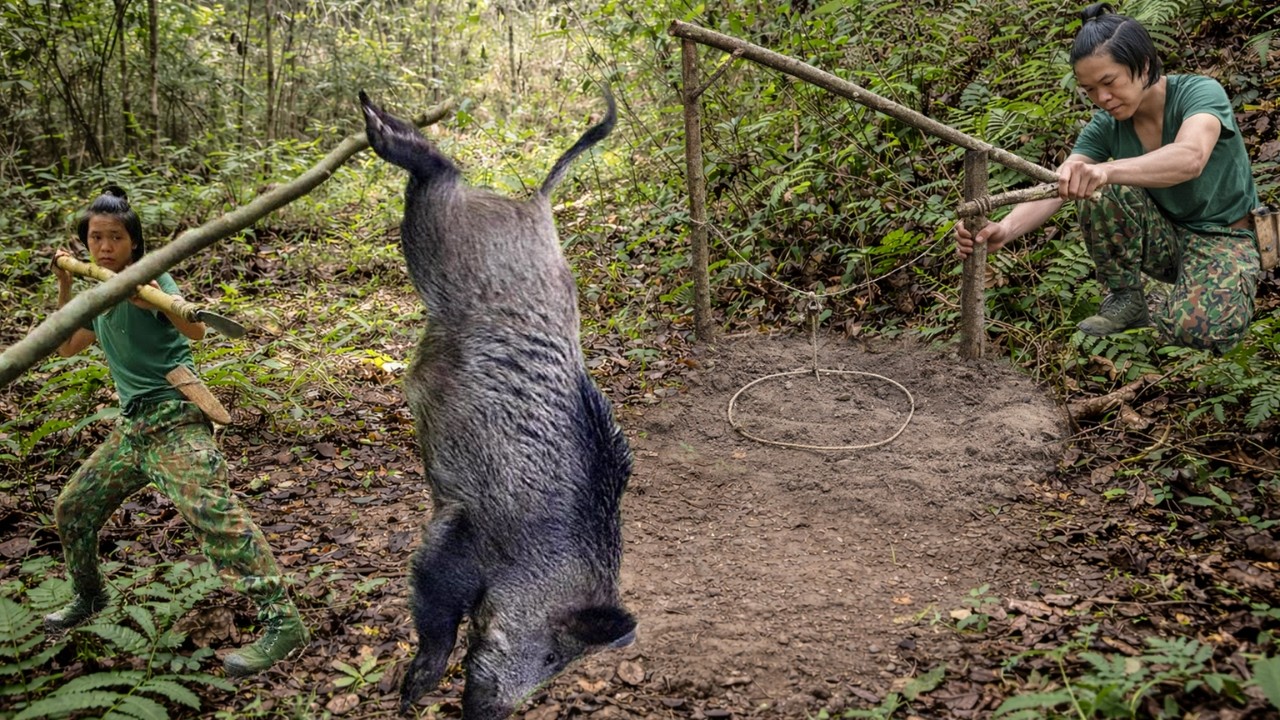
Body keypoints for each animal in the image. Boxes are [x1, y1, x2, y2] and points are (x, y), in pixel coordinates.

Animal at [359, 89, 636, 720]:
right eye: (553, 655)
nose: (491, 712)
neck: (539, 551)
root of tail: (533, 204)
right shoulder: (463, 525)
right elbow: (433, 604)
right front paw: (414, 692)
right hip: (436, 235)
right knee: (438, 171)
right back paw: (374, 121)